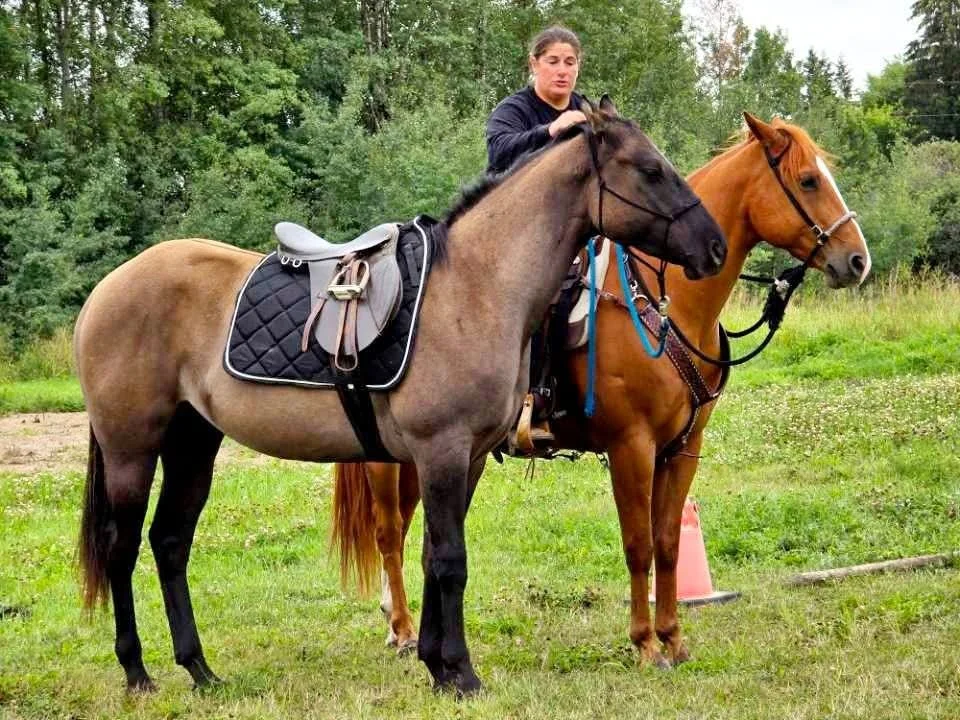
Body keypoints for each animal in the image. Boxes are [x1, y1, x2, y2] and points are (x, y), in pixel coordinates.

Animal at [74, 97, 727, 696]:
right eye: (649, 169)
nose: (715, 247)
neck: (477, 285)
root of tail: (106, 289)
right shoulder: (443, 451)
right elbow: (450, 561)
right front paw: (461, 674)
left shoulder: (466, 458)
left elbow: (435, 555)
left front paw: (437, 666)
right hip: (133, 450)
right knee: (121, 548)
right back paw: (137, 671)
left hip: (193, 445)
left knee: (169, 543)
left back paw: (200, 669)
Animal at [331, 112, 872, 667]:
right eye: (808, 180)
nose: (856, 260)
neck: (666, 308)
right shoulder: (631, 445)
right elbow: (638, 544)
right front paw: (645, 643)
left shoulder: (682, 450)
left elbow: (668, 542)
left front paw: (673, 636)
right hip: (389, 457)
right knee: (388, 531)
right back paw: (400, 627)